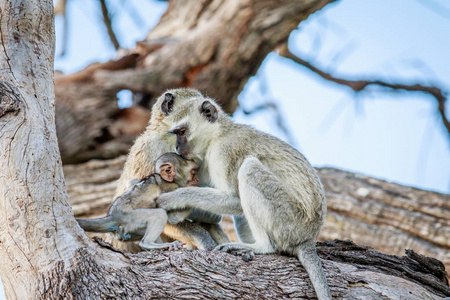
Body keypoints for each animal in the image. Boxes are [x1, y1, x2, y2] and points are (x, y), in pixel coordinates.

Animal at [157, 92, 330, 300]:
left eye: (182, 132)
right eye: (176, 134)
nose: (176, 146)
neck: (218, 134)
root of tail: (309, 237)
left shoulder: (224, 152)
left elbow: (235, 200)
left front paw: (173, 198)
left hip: (290, 221)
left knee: (249, 169)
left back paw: (260, 247)